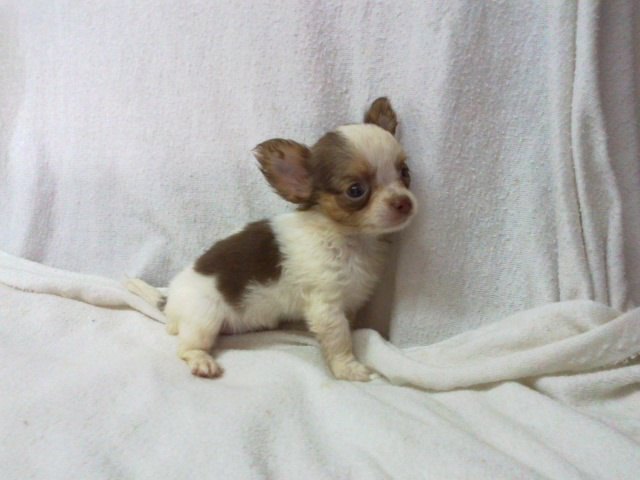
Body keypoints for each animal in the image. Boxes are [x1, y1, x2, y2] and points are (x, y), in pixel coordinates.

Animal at [126, 97, 417, 381]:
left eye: (404, 172)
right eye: (356, 190)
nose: (404, 203)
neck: (350, 239)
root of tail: (169, 300)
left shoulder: (350, 302)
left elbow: (349, 326)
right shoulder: (326, 306)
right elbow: (339, 339)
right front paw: (348, 368)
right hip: (203, 317)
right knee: (187, 346)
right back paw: (201, 360)